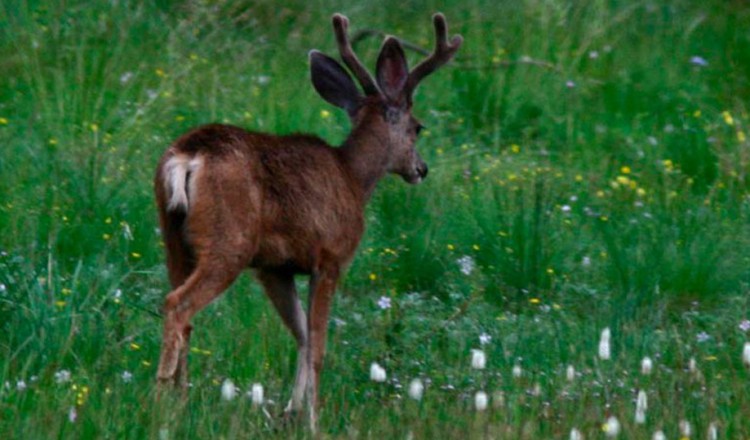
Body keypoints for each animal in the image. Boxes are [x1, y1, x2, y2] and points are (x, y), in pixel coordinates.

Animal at [154, 12, 464, 428]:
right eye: (418, 127)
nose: (421, 168)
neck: (354, 178)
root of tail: (188, 156)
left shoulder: (274, 267)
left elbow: (300, 333)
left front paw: (291, 411)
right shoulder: (331, 257)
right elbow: (318, 343)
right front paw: (314, 421)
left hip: (172, 236)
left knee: (181, 309)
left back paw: (181, 398)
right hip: (229, 242)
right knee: (179, 305)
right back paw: (162, 400)